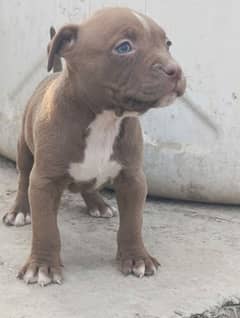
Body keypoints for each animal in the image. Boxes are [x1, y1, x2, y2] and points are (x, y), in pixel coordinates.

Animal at [2, 7, 186, 286]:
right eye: (124, 47)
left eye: (168, 44)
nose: (174, 69)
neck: (104, 118)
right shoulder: (45, 181)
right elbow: (46, 228)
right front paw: (42, 265)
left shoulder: (133, 179)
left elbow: (133, 223)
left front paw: (137, 257)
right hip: (24, 149)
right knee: (24, 179)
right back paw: (20, 210)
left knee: (87, 185)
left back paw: (98, 204)